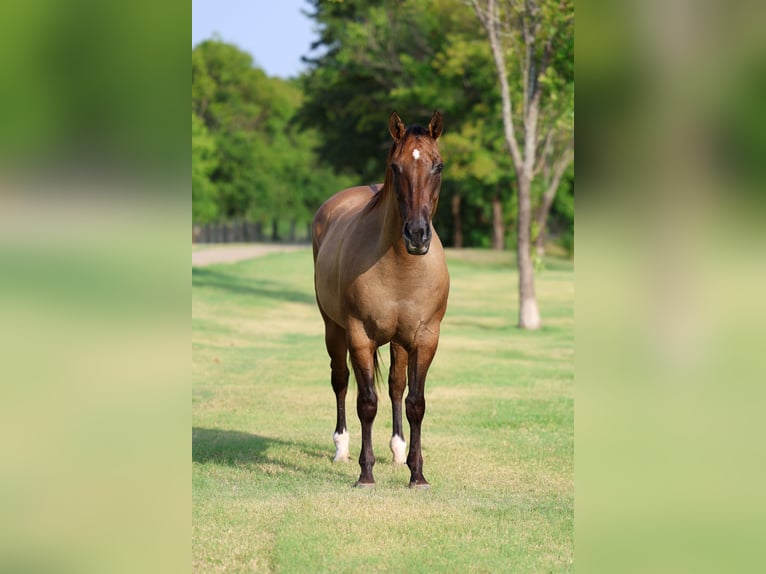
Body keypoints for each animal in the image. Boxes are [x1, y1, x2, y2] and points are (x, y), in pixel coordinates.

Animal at [312, 111, 450, 489]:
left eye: (438, 166)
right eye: (396, 167)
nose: (416, 234)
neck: (401, 266)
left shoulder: (425, 338)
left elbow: (415, 402)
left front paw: (417, 474)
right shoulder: (360, 336)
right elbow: (366, 403)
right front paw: (366, 473)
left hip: (400, 341)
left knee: (396, 387)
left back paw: (398, 450)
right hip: (334, 329)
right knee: (341, 380)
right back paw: (341, 447)